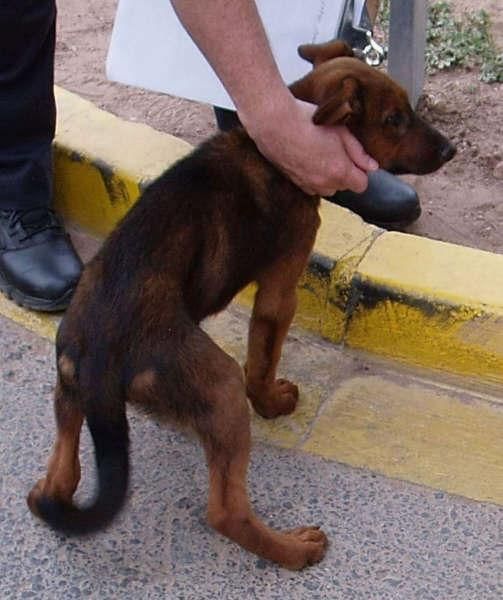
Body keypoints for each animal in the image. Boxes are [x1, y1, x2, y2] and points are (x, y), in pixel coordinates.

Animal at [25, 41, 454, 568]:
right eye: (394, 119)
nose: (451, 150)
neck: (275, 155)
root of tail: (99, 359)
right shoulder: (280, 291)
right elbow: (262, 359)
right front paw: (270, 402)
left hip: (66, 390)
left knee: (58, 479)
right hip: (219, 387)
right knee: (226, 511)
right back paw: (291, 548)